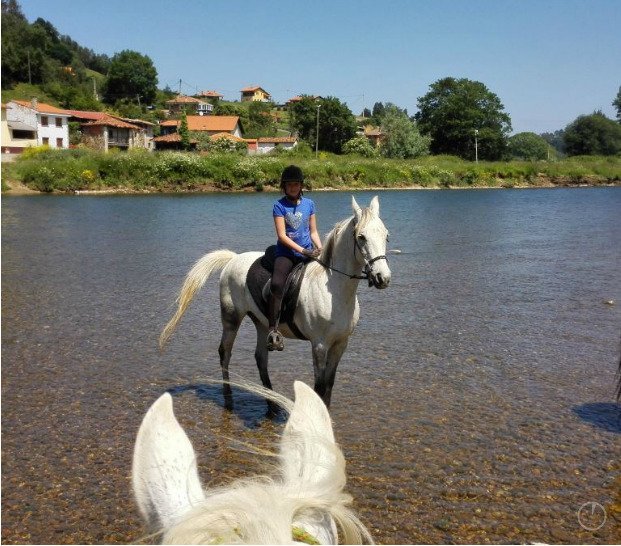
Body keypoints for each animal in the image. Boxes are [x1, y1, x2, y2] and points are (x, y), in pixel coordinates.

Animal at [161, 197, 392, 408]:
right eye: (361, 237)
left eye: (386, 236)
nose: (383, 278)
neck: (334, 290)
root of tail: (233, 259)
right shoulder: (319, 345)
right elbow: (319, 386)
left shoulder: (340, 343)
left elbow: (329, 384)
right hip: (231, 318)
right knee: (225, 353)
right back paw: (228, 395)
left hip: (262, 323)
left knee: (261, 358)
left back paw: (271, 402)